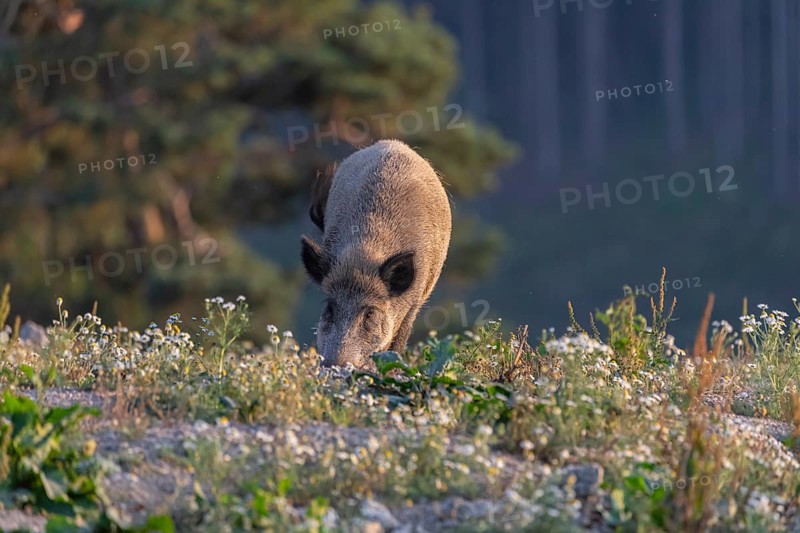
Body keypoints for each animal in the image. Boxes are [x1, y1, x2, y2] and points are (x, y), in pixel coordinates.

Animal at [301, 139, 452, 369]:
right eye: (330, 308)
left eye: (370, 312)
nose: (334, 365)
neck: (363, 255)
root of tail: (394, 143)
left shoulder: (413, 302)